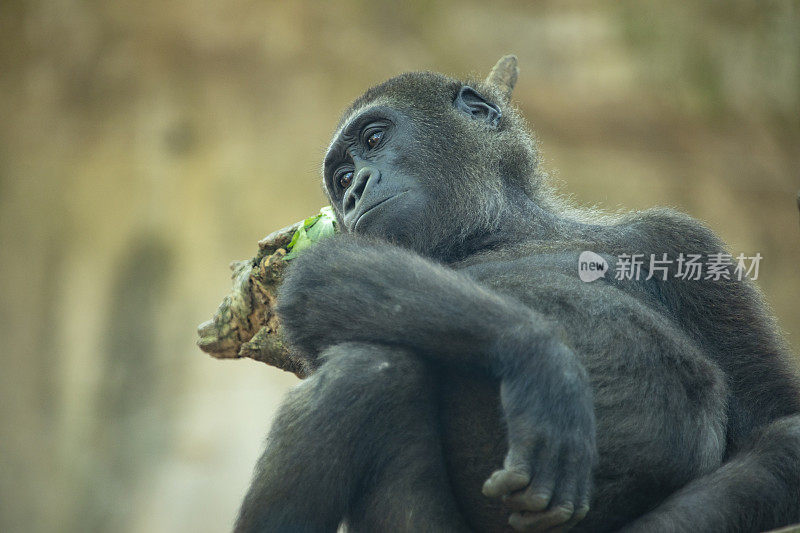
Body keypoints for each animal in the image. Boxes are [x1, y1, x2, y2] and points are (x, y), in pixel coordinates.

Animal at [233, 56, 800, 528]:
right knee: (368, 368)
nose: (352, 192)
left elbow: (776, 422)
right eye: (342, 176)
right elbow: (318, 276)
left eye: (373, 139)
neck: (501, 230)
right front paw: (542, 361)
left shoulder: (682, 242)